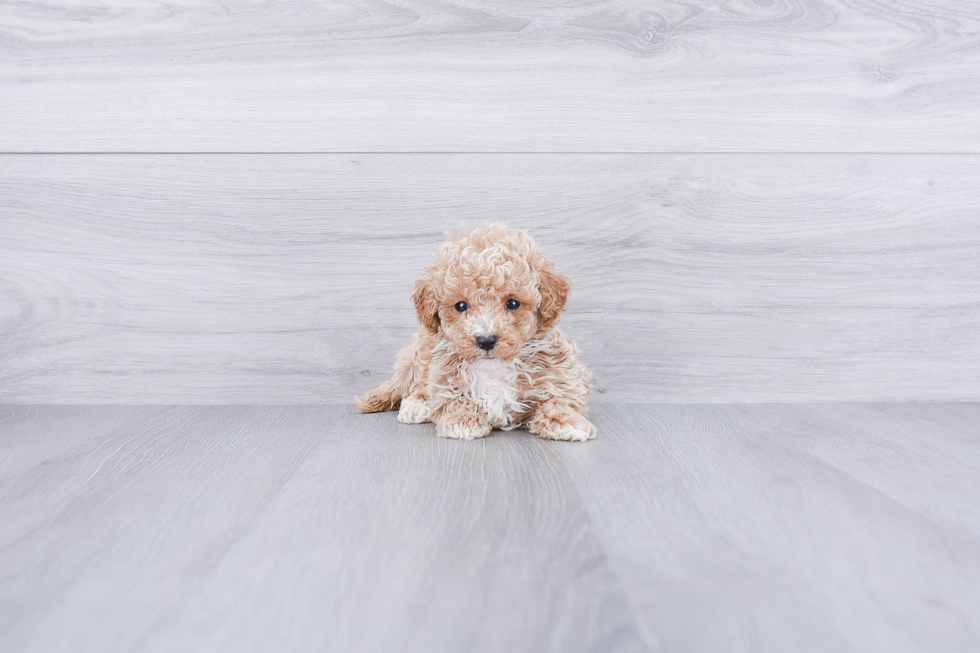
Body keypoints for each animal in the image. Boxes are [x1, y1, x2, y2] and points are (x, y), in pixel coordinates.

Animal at [354, 222, 592, 440]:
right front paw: (462, 421)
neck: (494, 369)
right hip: (417, 355)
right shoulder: (443, 372)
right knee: (410, 385)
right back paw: (416, 405)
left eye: (513, 303)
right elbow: (452, 397)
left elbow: (560, 398)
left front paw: (566, 422)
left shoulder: (560, 373)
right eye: (461, 305)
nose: (486, 340)